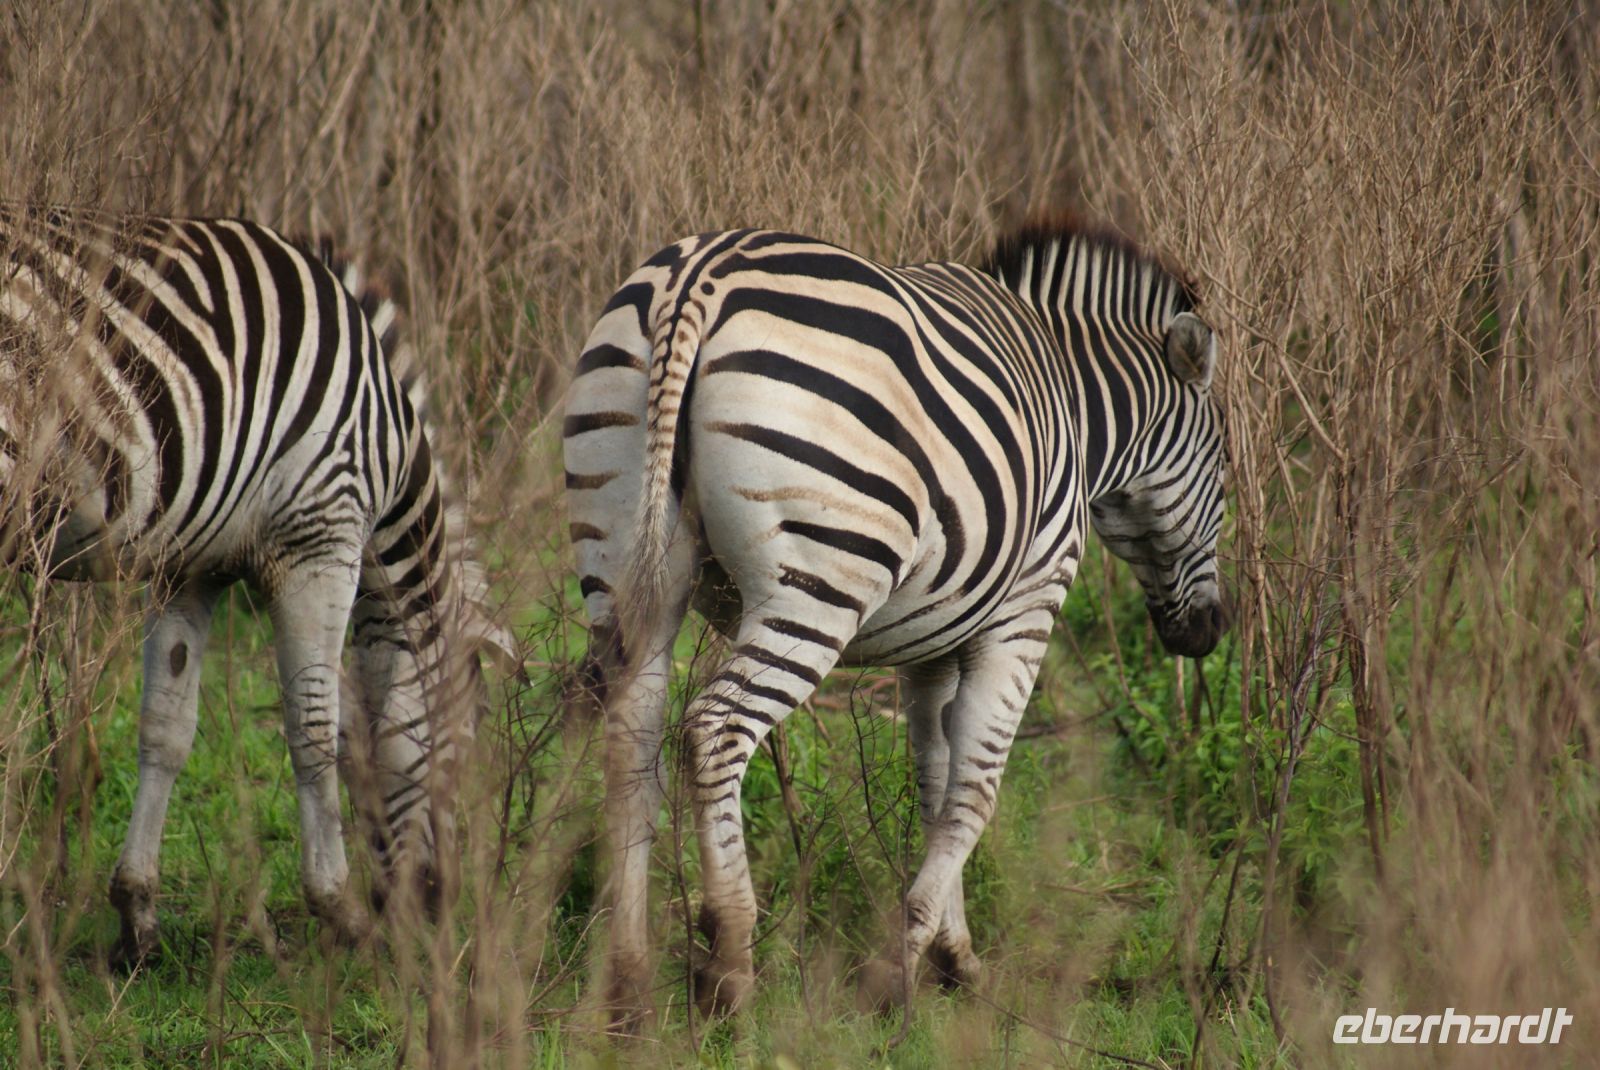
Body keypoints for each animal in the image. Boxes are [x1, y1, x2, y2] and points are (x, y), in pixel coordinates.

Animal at [0, 206, 516, 963]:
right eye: (469, 736)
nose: (437, 905)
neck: (386, 443)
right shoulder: (321, 533)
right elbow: (313, 726)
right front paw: (340, 911)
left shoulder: (191, 564)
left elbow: (167, 727)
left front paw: (137, 914)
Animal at [563, 218, 1229, 1024]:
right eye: (1227, 469)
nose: (1206, 633)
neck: (1075, 403)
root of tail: (700, 277)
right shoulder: (1025, 607)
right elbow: (976, 788)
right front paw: (903, 976)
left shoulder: (936, 635)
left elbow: (935, 782)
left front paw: (950, 955)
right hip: (819, 582)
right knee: (716, 730)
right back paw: (729, 966)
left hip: (623, 552)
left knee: (631, 742)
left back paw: (627, 987)